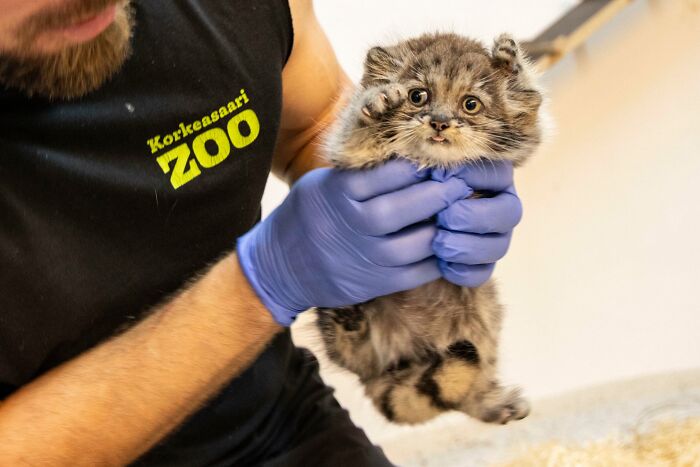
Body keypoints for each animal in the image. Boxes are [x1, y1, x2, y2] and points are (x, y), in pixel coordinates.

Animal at [314, 33, 544, 426]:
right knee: (354, 350)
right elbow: (353, 134)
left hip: (483, 310)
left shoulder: (523, 138)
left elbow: (531, 111)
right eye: (417, 96)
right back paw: (349, 317)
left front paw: (510, 62)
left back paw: (492, 403)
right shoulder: (348, 152)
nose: (439, 121)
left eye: (470, 104)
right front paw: (376, 105)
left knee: (468, 383)